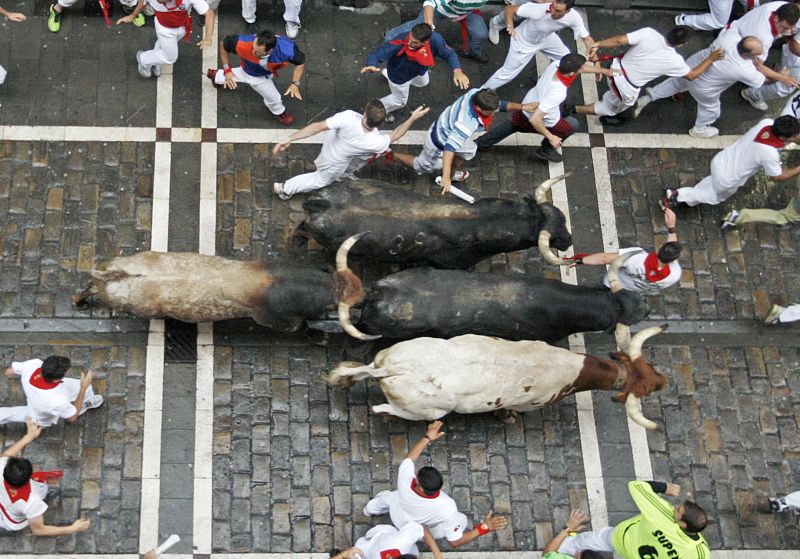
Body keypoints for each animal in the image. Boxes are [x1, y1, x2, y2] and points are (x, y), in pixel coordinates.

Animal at [326, 324, 668, 428]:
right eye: (649, 385)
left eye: (651, 370)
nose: (664, 381)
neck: (570, 369)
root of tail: (395, 368)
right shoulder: (530, 402)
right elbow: (511, 410)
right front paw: (507, 418)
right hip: (429, 410)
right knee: (382, 408)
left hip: (386, 356)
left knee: (362, 370)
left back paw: (345, 377)